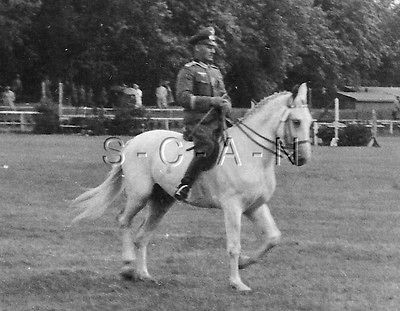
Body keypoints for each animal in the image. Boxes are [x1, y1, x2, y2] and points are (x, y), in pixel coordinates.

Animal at [73, 81, 314, 292]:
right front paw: (237, 283)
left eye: (310, 122)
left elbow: (272, 237)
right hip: (140, 195)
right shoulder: (233, 207)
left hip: (162, 201)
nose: (303, 158)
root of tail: (134, 141)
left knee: (142, 235)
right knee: (123, 220)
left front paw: (244, 263)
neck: (251, 155)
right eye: (296, 122)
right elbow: (234, 246)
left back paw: (144, 275)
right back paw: (127, 267)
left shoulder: (255, 206)